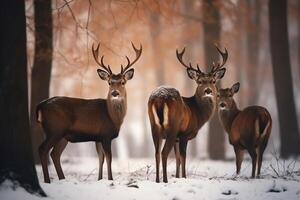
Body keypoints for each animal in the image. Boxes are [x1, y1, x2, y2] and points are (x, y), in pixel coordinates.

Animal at [36, 42, 142, 183]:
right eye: (109, 83)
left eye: (123, 82)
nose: (114, 93)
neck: (113, 118)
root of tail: (40, 105)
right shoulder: (106, 134)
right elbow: (109, 158)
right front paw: (110, 179)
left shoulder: (98, 137)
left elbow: (101, 159)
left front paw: (100, 179)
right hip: (54, 129)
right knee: (43, 149)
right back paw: (47, 180)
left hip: (62, 135)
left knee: (55, 154)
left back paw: (62, 179)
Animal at [149, 45, 229, 183]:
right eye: (199, 81)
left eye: (213, 81)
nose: (208, 90)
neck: (197, 112)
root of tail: (159, 98)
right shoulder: (184, 134)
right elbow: (183, 157)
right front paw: (184, 177)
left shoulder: (177, 138)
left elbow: (177, 158)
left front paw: (177, 176)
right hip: (172, 127)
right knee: (164, 153)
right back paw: (165, 180)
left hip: (154, 127)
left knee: (157, 153)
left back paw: (157, 180)